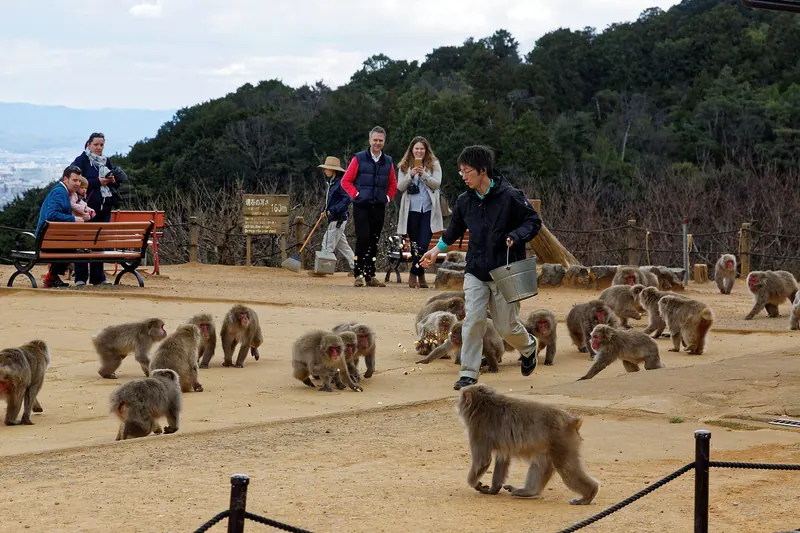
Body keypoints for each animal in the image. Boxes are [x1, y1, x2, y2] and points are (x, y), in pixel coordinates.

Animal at [455, 383, 600, 505]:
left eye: (461, 397)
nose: (457, 403)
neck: (483, 405)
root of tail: (572, 421)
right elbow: (503, 458)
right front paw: (493, 489)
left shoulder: (478, 428)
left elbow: (482, 461)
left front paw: (475, 484)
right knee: (542, 463)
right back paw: (529, 491)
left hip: (562, 440)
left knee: (566, 467)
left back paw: (589, 494)